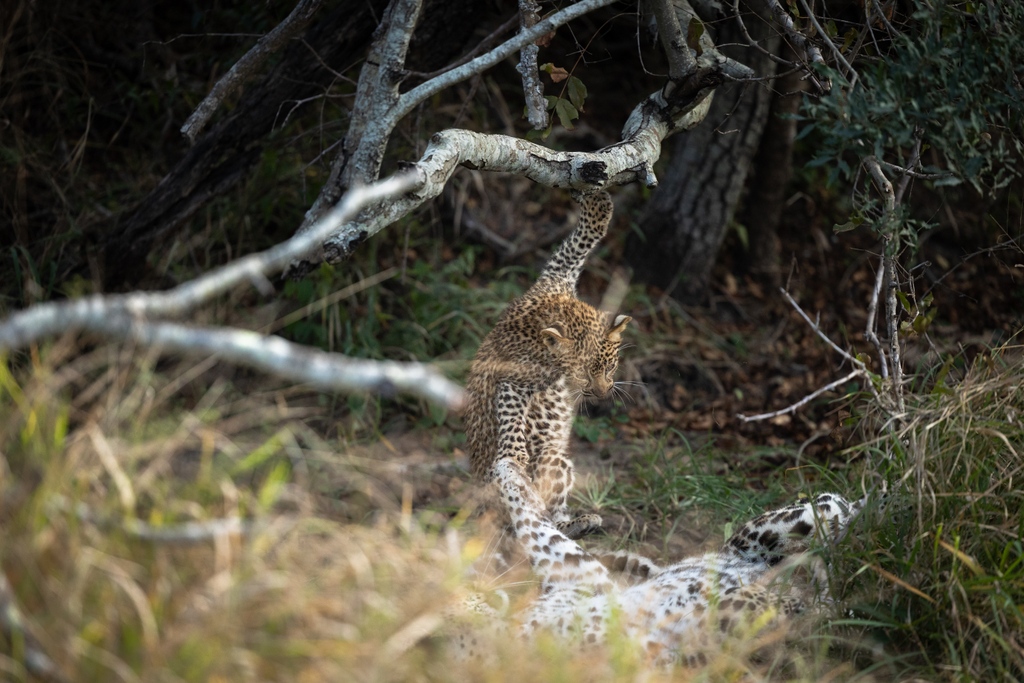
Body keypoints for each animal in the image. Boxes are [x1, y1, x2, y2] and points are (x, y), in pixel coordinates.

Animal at [450, 458, 881, 665]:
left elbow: (528, 522)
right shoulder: (581, 576)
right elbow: (529, 520)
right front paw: (507, 470)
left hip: (774, 532)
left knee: (843, 511)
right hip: (787, 530)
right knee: (838, 510)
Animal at [464, 191, 631, 540]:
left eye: (610, 368)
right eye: (583, 374)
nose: (603, 395)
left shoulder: (557, 275)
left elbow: (576, 246)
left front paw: (599, 204)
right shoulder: (513, 379)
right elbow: (511, 418)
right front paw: (514, 457)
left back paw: (583, 522)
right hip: (552, 459)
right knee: (533, 519)